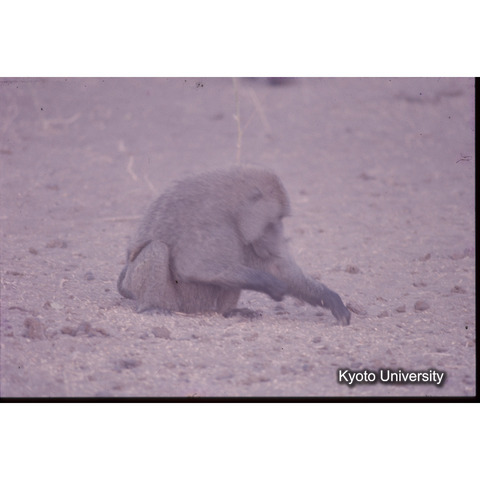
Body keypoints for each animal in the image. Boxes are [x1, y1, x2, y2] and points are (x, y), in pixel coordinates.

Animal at [118, 167, 351, 325]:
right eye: (274, 221)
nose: (278, 235)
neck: (234, 206)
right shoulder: (213, 223)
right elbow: (193, 267)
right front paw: (272, 285)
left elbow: (277, 268)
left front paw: (331, 299)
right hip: (177, 302)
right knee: (157, 249)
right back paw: (151, 307)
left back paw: (230, 312)